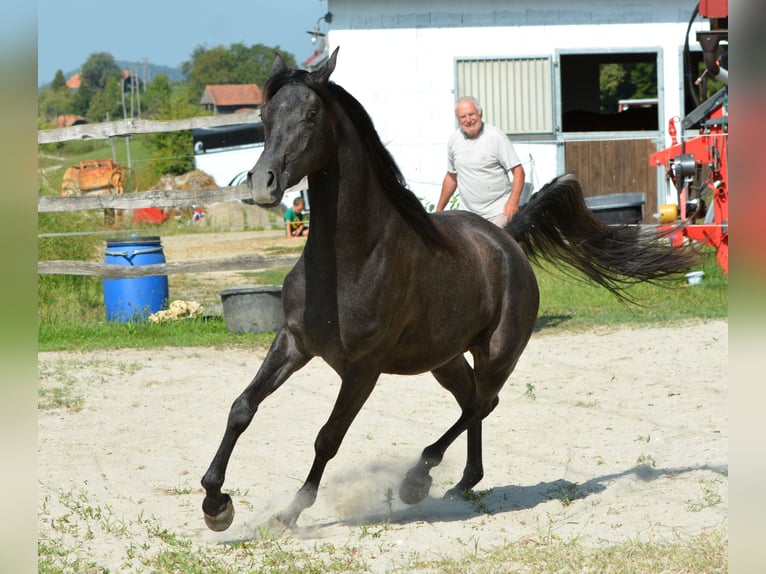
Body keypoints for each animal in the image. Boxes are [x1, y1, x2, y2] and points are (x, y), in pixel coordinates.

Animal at [201, 47, 692, 532]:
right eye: (264, 116)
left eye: (310, 114)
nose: (262, 183)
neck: (348, 258)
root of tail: (507, 240)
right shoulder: (294, 342)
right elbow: (241, 407)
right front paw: (215, 503)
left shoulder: (363, 369)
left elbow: (328, 437)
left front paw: (287, 513)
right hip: (445, 358)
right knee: (472, 400)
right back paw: (462, 483)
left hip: (498, 352)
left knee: (483, 402)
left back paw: (417, 481)